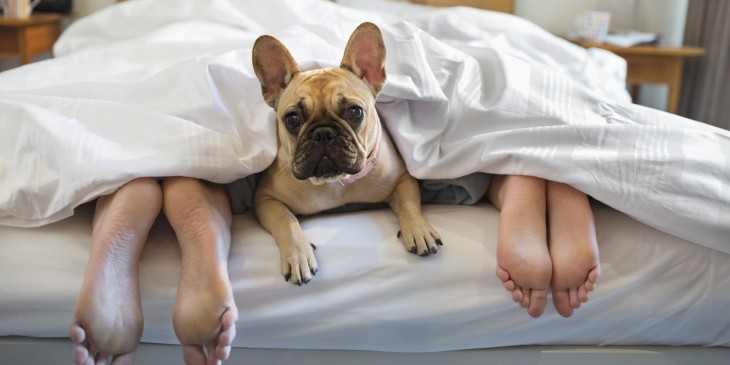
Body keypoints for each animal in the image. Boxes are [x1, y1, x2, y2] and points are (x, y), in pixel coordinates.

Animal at [250, 22, 440, 284]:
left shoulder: (403, 179)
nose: (323, 133)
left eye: (355, 112)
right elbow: (285, 219)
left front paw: (419, 230)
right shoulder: (265, 198)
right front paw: (298, 254)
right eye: (292, 119)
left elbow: (410, 203)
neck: (337, 183)